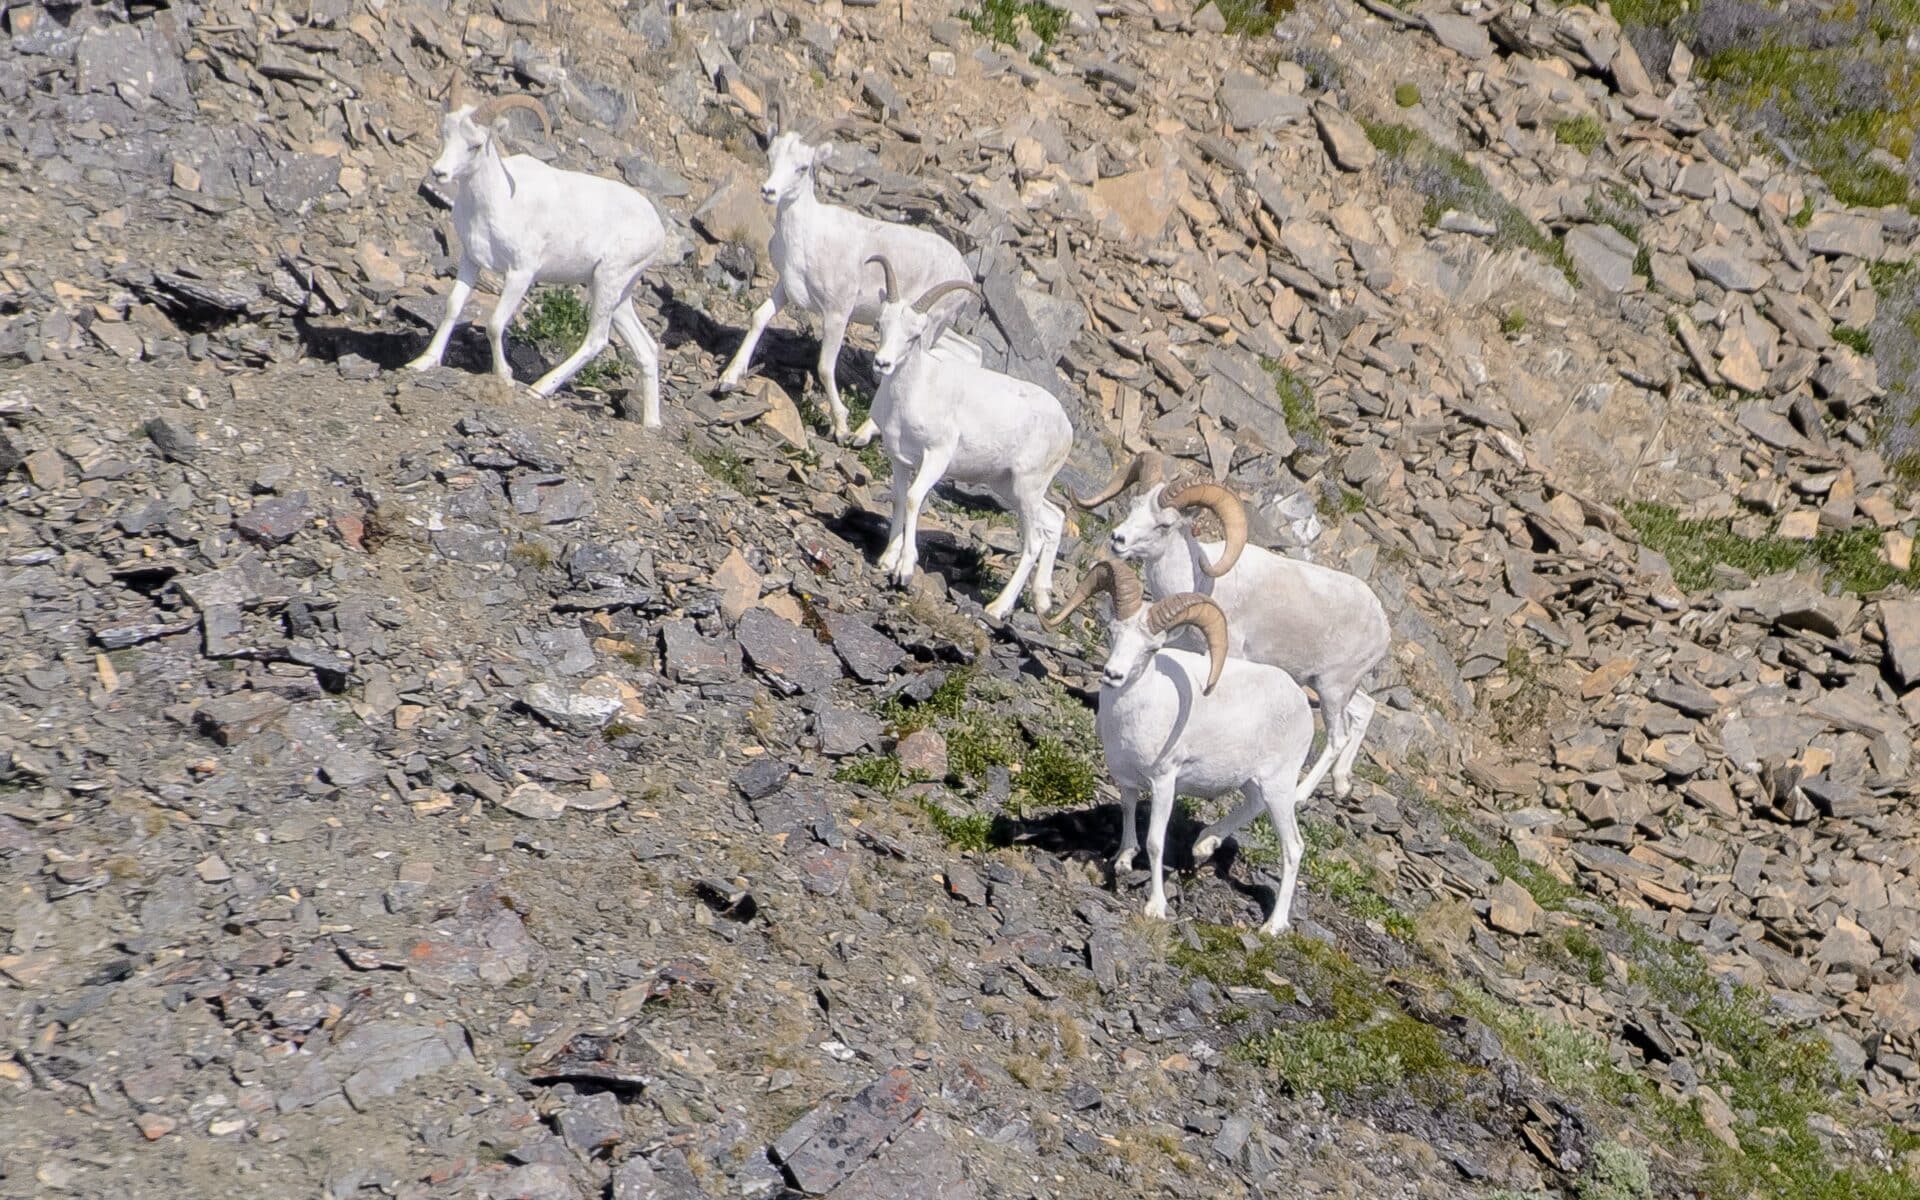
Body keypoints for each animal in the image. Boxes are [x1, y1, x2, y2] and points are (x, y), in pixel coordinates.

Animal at [406, 86, 670, 426]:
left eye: (475, 145)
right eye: (445, 133)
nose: (439, 173)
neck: (495, 202)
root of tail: (656, 228)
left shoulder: (520, 274)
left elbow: (495, 323)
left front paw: (504, 375)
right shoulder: (470, 262)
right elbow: (452, 307)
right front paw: (423, 362)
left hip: (607, 280)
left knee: (596, 339)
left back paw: (539, 389)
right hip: (615, 293)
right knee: (646, 349)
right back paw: (651, 424)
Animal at [715, 104, 974, 444]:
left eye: (802, 167)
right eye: (771, 156)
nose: (768, 191)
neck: (808, 235)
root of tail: (965, 273)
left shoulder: (837, 313)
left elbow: (825, 366)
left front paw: (841, 427)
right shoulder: (784, 288)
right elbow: (759, 317)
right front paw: (727, 380)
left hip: (928, 326)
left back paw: (863, 434)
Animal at [864, 255, 1071, 622]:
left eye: (914, 336)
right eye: (880, 325)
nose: (882, 363)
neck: (912, 393)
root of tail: (1066, 427)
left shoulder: (936, 457)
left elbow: (915, 499)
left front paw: (904, 570)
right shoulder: (900, 459)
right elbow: (901, 499)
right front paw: (886, 560)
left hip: (1026, 489)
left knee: (1033, 541)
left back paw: (998, 608)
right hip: (1011, 487)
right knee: (1055, 520)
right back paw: (1042, 600)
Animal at [1044, 559, 1331, 934]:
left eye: (1151, 650)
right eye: (1112, 632)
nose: (1113, 675)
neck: (1134, 715)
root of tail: (1300, 701)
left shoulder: (1164, 783)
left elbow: (1154, 843)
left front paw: (1155, 907)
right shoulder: (1127, 779)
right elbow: (1128, 813)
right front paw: (1122, 861)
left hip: (1279, 788)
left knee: (1293, 848)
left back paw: (1272, 926)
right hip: (1253, 784)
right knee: (1251, 806)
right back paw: (1204, 845)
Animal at [1077, 450, 1389, 852]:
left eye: (1163, 524)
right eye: (1134, 505)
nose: (1118, 539)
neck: (1199, 578)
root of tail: (1382, 626)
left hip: (1332, 691)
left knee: (1337, 738)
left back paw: (1301, 796)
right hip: (1330, 686)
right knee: (1366, 710)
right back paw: (1342, 785)